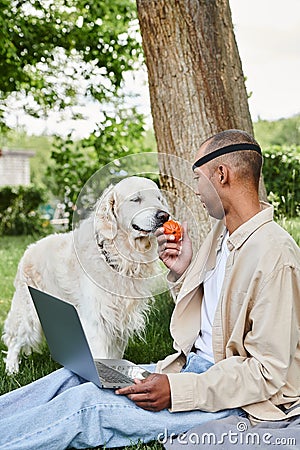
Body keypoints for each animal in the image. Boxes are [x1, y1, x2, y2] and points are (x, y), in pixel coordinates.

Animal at [3, 176, 170, 372]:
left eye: (159, 198)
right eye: (135, 199)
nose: (164, 216)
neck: (120, 255)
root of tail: (29, 250)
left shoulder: (119, 319)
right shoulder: (97, 320)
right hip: (28, 314)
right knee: (14, 340)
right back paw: (12, 370)